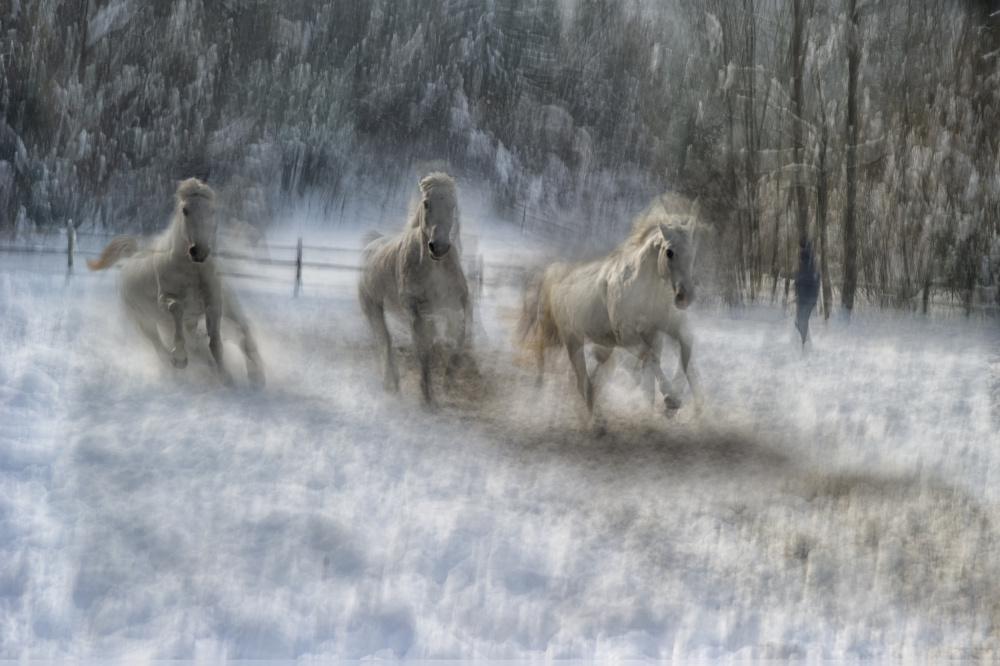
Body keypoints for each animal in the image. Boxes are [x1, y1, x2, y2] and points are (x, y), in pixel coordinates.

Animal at [89, 178, 266, 384]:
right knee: (161, 348)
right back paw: (176, 368)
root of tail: (133, 255)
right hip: (145, 323)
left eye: (212, 211)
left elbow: (216, 344)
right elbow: (177, 310)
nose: (199, 251)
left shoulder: (214, 303)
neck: (192, 271)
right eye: (185, 210)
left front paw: (226, 376)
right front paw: (181, 358)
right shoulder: (168, 300)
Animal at [358, 170, 470, 404]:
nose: (439, 247)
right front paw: (427, 396)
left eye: (452, 205)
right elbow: (422, 347)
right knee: (385, 341)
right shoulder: (413, 308)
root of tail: (371, 244)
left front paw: (448, 383)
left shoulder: (456, 302)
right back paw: (391, 384)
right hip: (372, 308)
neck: (433, 266)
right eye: (426, 203)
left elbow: (457, 340)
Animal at [524, 192, 704, 418]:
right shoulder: (627, 336)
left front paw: (679, 402)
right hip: (568, 337)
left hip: (595, 343)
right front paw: (670, 398)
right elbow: (651, 358)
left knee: (590, 380)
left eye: (693, 252)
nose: (684, 296)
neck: (643, 289)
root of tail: (552, 271)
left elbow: (682, 349)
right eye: (669, 252)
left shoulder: (658, 330)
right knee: (570, 372)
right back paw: (541, 393)